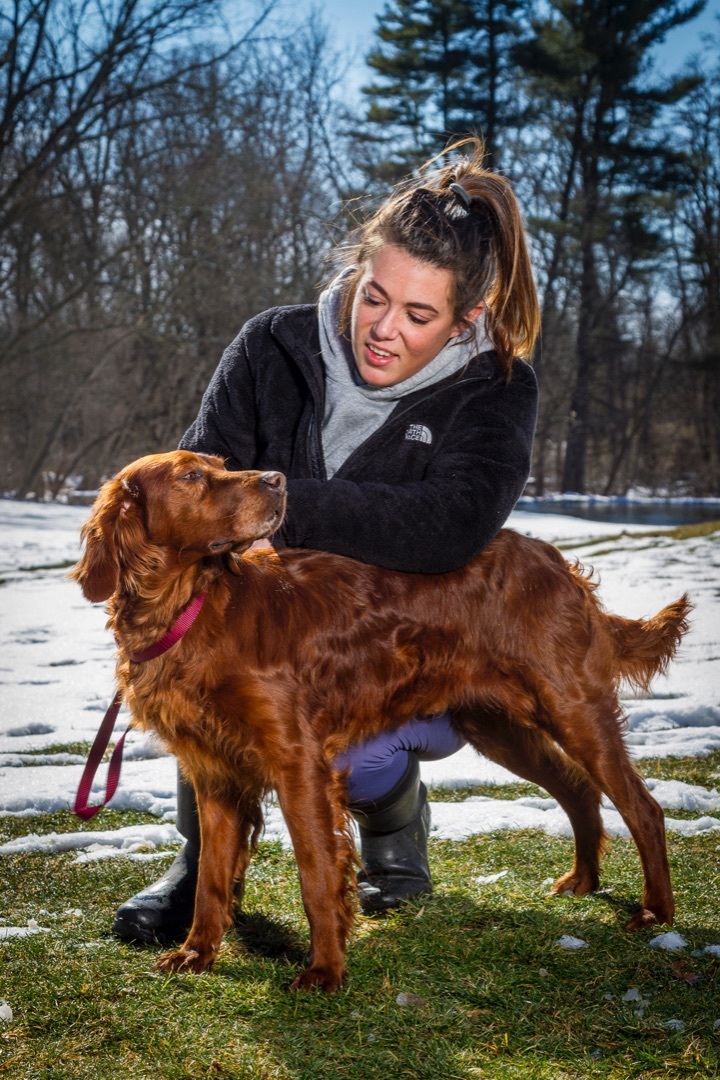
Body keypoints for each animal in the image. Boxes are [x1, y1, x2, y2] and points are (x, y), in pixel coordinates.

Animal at [73, 451, 690, 989]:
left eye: (221, 466)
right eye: (194, 475)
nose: (277, 479)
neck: (191, 610)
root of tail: (553, 559)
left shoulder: (298, 764)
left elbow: (317, 875)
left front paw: (325, 971)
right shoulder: (216, 774)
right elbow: (210, 879)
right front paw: (197, 953)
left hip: (571, 708)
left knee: (643, 807)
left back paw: (656, 913)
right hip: (500, 726)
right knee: (577, 789)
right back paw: (584, 880)